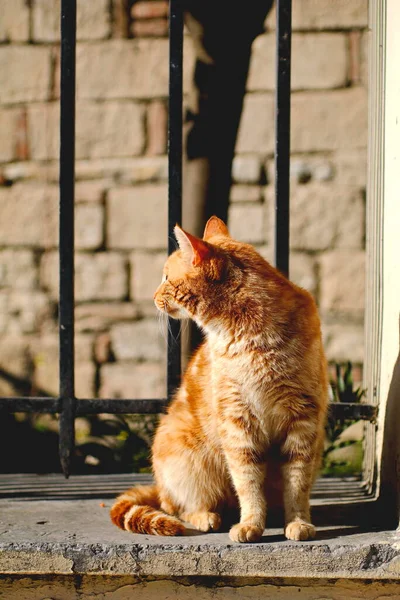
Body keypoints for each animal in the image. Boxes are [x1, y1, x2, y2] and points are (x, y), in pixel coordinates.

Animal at [111, 217, 328, 544]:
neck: (251, 336)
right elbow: (247, 483)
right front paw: (251, 523)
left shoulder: (303, 420)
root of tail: (158, 486)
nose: (152, 297)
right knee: (178, 506)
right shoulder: (237, 422)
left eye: (166, 277)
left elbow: (297, 483)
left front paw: (298, 522)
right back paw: (206, 517)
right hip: (188, 463)